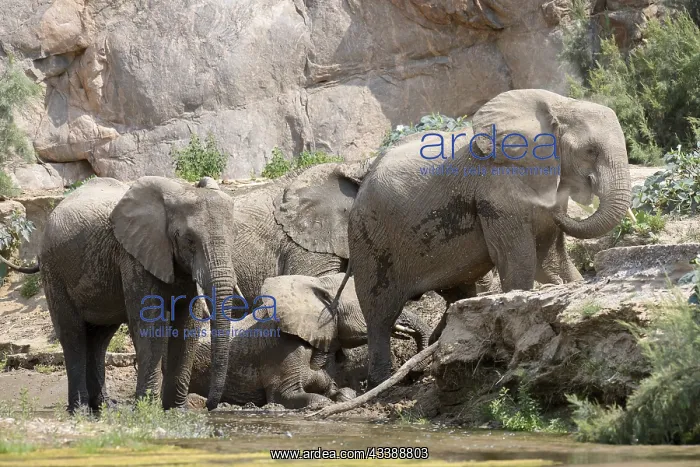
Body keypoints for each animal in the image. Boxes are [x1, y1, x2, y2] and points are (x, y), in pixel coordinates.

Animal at [2, 176, 240, 412]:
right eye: (188, 240)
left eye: (232, 238)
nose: (209, 406)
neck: (180, 191)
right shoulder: (133, 257)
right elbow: (149, 326)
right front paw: (146, 410)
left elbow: (188, 327)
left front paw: (178, 412)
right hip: (54, 269)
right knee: (73, 334)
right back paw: (81, 410)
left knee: (99, 339)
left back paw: (104, 407)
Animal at [345, 88, 631, 387]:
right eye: (590, 151)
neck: (560, 104)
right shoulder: (496, 191)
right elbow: (520, 261)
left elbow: (551, 261)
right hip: (369, 238)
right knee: (379, 314)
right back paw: (381, 382)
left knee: (457, 293)